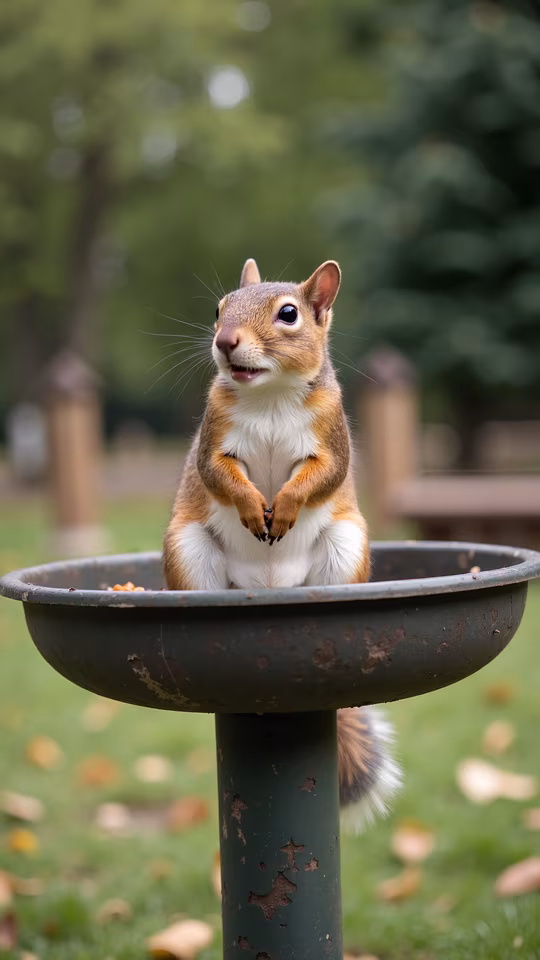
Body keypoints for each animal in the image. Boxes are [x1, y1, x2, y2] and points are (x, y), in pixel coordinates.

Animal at [163, 258, 401, 830]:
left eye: (289, 314)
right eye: (219, 308)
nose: (224, 341)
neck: (268, 395)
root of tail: (272, 587)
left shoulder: (331, 442)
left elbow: (321, 476)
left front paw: (286, 506)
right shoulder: (214, 442)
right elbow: (220, 477)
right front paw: (253, 507)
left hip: (344, 548)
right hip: (191, 550)